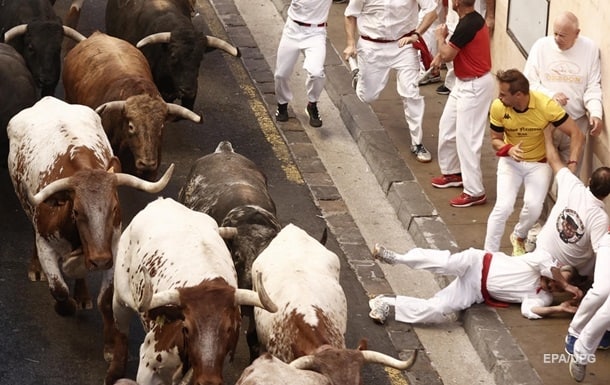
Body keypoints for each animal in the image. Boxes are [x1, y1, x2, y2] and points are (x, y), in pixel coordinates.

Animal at [7, 95, 173, 356]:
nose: (100, 260)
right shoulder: (45, 243)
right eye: (76, 211)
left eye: (114, 208)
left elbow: (105, 300)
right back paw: (37, 269)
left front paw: (111, 345)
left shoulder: (112, 246)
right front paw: (64, 305)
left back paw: (82, 294)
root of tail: (48, 100)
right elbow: (59, 290)